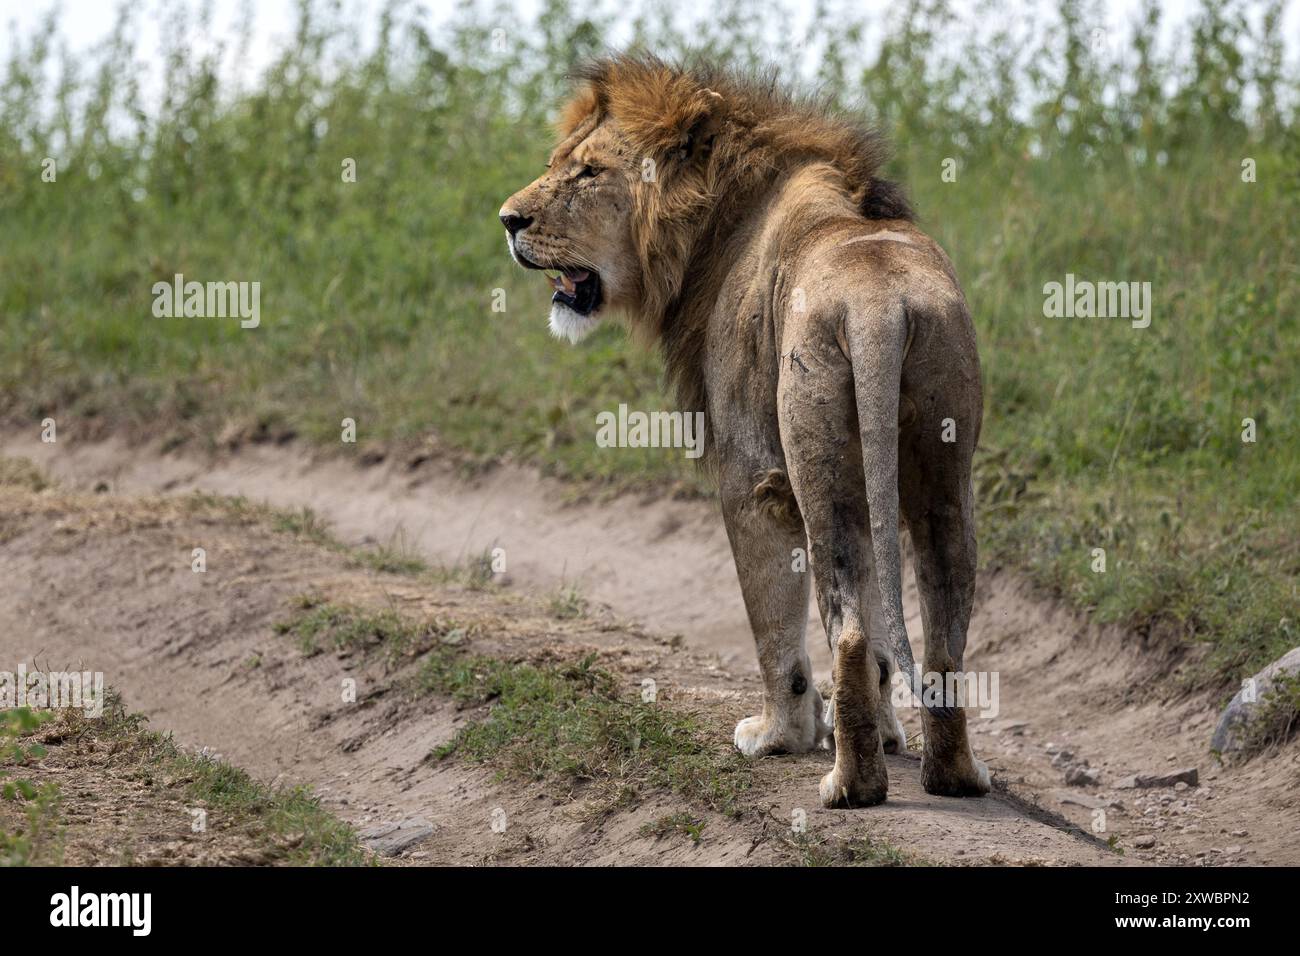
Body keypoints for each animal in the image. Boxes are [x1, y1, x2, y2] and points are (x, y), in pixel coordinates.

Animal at [499, 55, 989, 807]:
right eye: (560, 163)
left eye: (587, 173)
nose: (507, 220)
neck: (714, 229)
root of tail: (879, 303)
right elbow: (882, 638)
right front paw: (882, 733)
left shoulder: (749, 472)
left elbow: (773, 624)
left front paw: (779, 735)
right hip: (941, 458)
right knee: (940, 623)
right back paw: (953, 775)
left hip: (818, 460)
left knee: (845, 628)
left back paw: (848, 784)